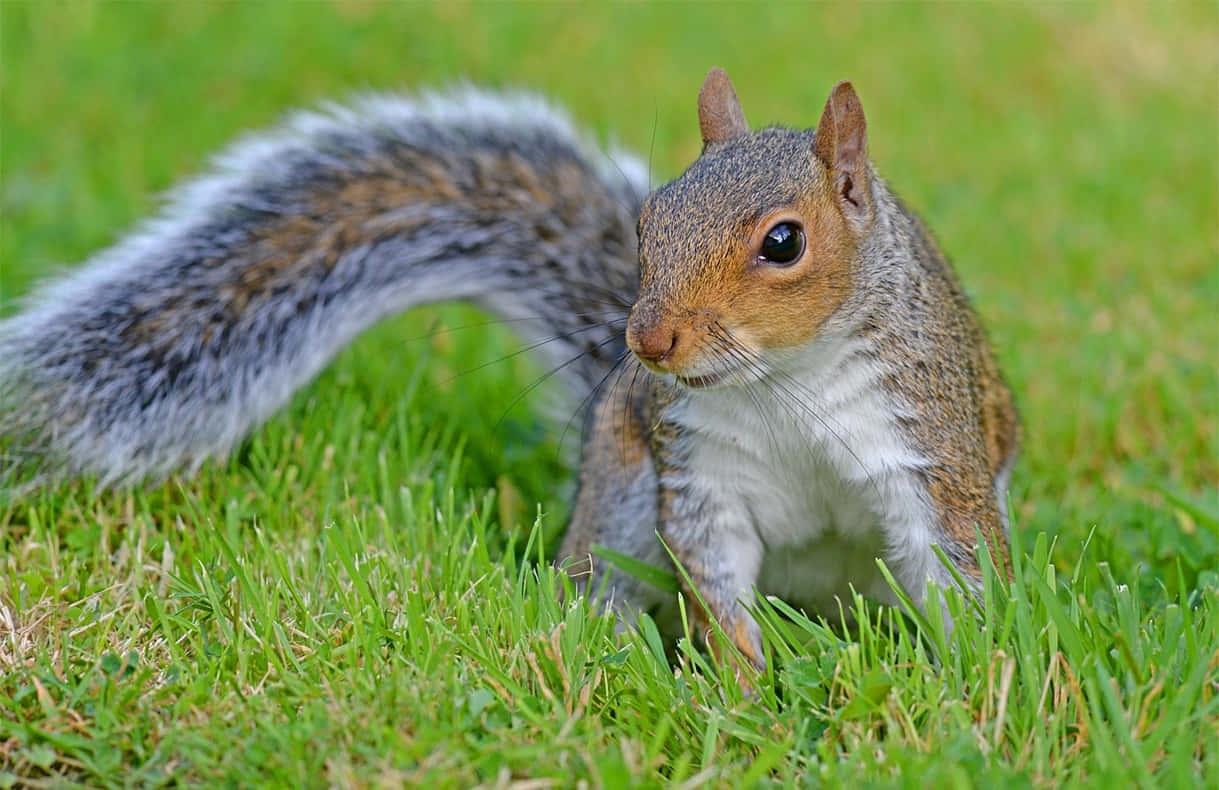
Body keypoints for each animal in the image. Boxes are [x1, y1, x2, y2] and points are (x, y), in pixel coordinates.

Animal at [1, 69, 1019, 675]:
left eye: (783, 242)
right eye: (648, 221)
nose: (647, 344)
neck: (780, 382)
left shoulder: (926, 448)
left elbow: (962, 570)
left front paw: (976, 687)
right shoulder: (700, 476)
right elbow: (715, 585)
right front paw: (742, 691)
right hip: (623, 486)